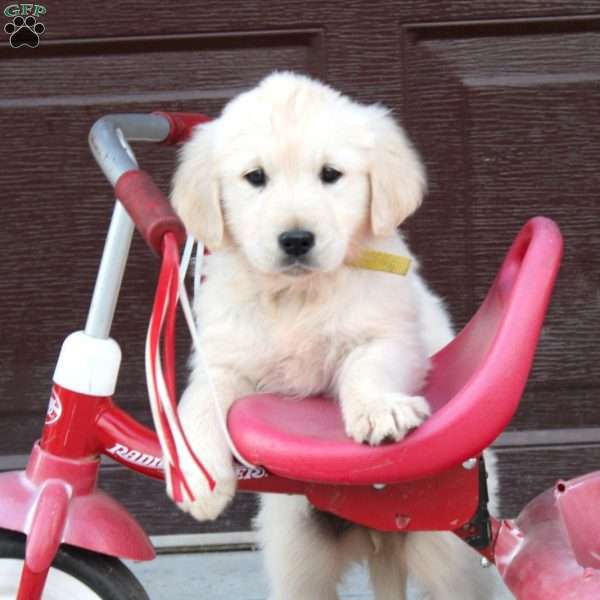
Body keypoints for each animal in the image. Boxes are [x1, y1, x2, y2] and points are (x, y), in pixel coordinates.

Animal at [170, 71, 510, 600]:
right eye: (255, 178)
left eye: (331, 174)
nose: (295, 240)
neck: (298, 295)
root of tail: (378, 535)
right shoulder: (224, 355)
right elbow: (201, 398)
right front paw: (199, 475)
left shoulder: (391, 337)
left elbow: (365, 367)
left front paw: (379, 411)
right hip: (296, 556)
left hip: (447, 550)